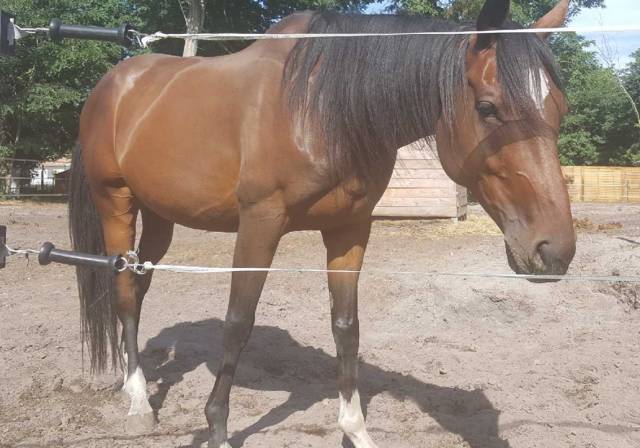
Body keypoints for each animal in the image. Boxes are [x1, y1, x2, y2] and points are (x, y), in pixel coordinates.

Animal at [69, 0, 575, 446]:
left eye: (560, 109)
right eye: (487, 107)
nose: (555, 250)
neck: (319, 109)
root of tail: (113, 85)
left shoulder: (350, 229)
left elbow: (346, 326)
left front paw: (356, 429)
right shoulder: (260, 223)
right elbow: (238, 322)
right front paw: (216, 429)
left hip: (160, 217)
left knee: (139, 285)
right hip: (116, 202)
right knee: (124, 289)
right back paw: (138, 401)